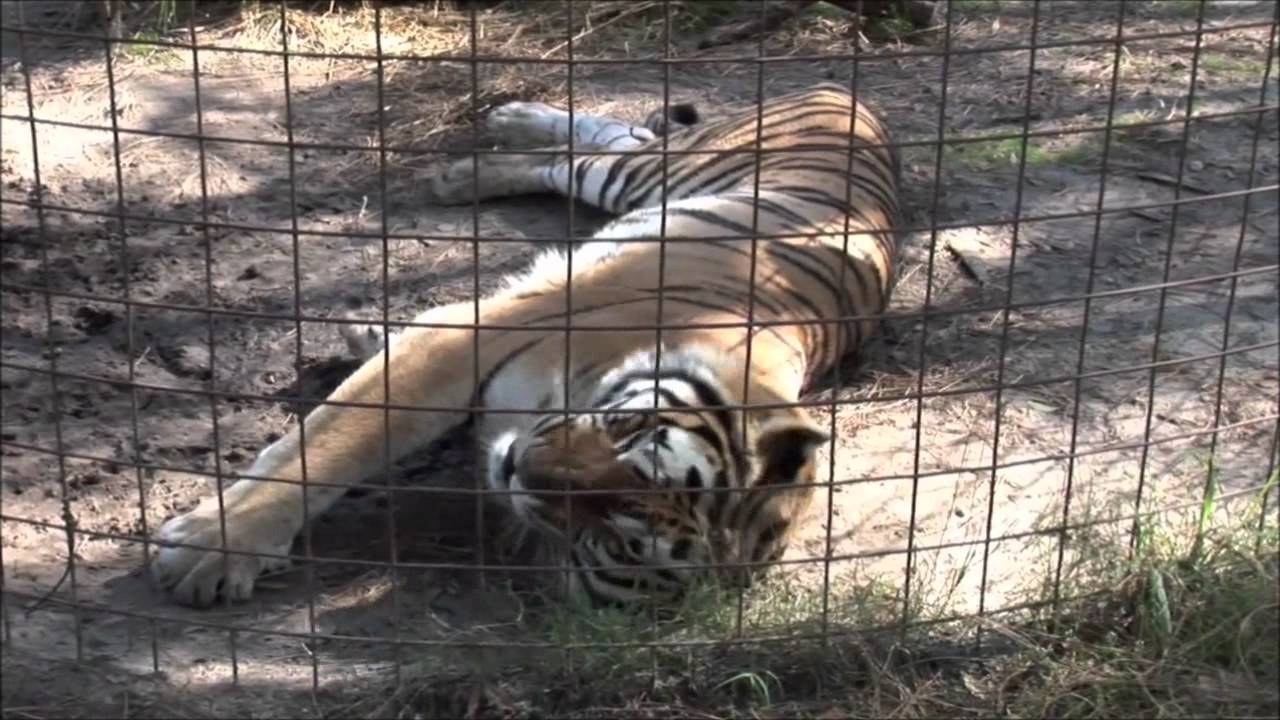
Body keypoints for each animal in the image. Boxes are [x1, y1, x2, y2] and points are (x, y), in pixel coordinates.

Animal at [149, 82, 901, 609]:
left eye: (619, 537)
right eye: (629, 437)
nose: (519, 471)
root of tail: (850, 92)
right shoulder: (468, 336)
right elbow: (329, 448)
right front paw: (211, 551)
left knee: (598, 145)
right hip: (651, 171)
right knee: (601, 143)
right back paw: (487, 147)